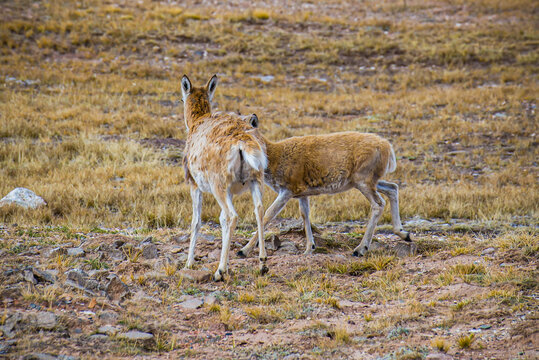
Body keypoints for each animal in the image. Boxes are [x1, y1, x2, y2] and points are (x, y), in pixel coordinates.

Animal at [181, 74, 268, 280]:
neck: (197, 122)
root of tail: (243, 142)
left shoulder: (194, 184)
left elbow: (196, 221)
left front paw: (189, 263)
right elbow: (220, 220)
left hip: (218, 185)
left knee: (232, 215)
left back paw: (219, 271)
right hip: (255, 180)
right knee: (259, 209)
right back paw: (262, 264)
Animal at [238, 114, 412, 258]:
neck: (275, 155)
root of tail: (386, 146)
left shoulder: (286, 192)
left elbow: (267, 214)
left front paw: (244, 250)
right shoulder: (301, 194)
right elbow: (304, 214)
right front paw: (309, 248)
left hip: (363, 182)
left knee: (378, 204)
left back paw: (360, 249)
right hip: (368, 182)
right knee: (393, 188)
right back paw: (404, 234)